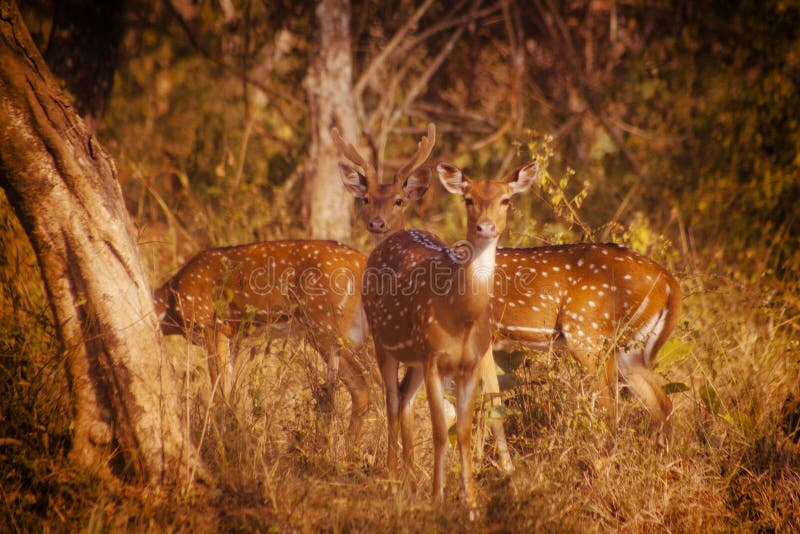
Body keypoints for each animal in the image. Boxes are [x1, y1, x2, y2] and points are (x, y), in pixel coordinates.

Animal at [360, 161, 536, 508]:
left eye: (506, 200)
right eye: (468, 199)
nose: (485, 227)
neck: (460, 313)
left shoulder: (469, 363)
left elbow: (464, 432)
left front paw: (470, 503)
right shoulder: (433, 358)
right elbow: (441, 430)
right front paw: (437, 499)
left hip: (415, 357)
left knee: (403, 398)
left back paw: (408, 480)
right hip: (382, 340)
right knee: (390, 402)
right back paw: (391, 483)